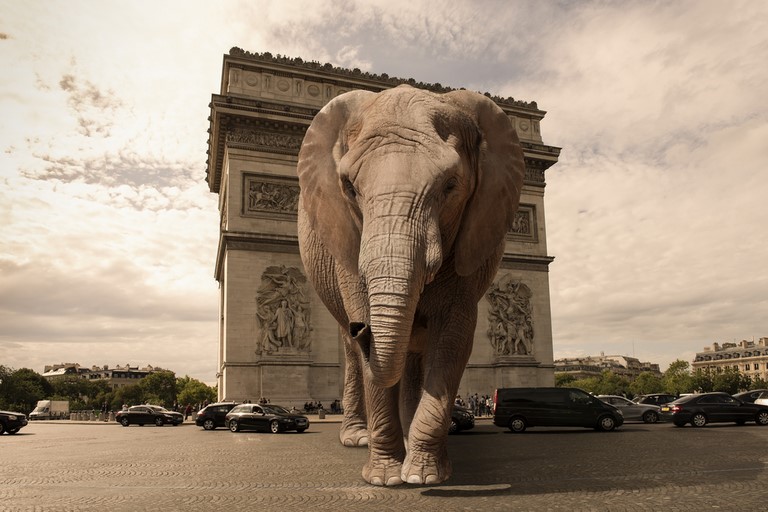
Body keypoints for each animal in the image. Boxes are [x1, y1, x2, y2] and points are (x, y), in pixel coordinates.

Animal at [296, 84, 524, 484]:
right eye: (349, 187)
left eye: (450, 186)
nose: (361, 328)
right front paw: (385, 476)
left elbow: (453, 338)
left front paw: (423, 474)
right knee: (354, 357)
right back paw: (357, 436)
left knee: (414, 355)